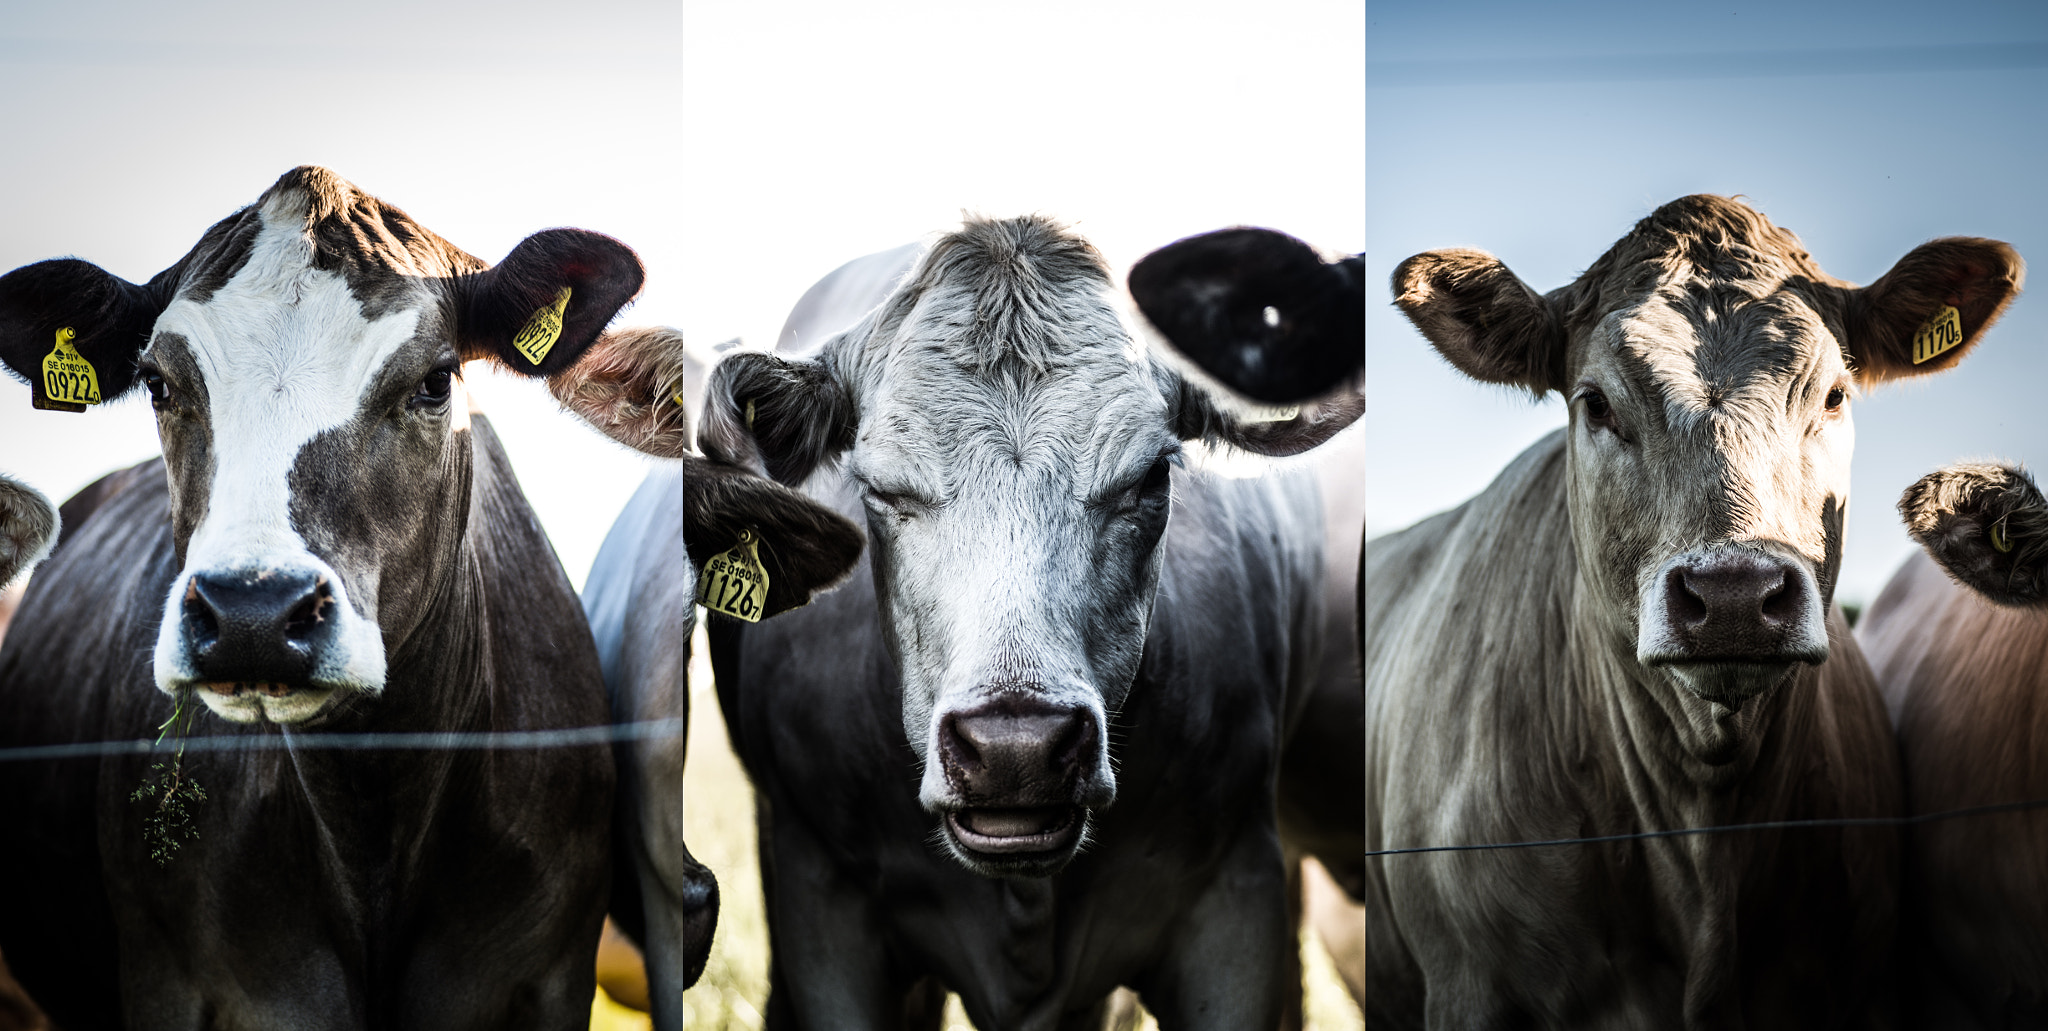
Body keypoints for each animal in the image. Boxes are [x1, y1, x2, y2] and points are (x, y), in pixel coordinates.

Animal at [0, 166, 856, 1028]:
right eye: (157, 384)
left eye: (434, 381)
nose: (253, 613)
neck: (372, 806)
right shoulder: (166, 976)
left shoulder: (552, 974)